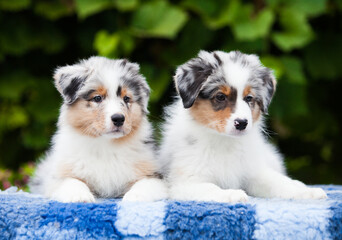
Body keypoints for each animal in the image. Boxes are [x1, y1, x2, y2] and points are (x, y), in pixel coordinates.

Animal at [29, 56, 168, 202]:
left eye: (126, 98)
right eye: (97, 98)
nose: (118, 119)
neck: (105, 144)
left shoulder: (154, 174)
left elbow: (145, 183)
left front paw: (136, 196)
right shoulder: (57, 177)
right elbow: (71, 181)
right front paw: (79, 196)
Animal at [159, 50, 328, 202]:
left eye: (249, 98)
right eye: (220, 97)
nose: (242, 123)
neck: (224, 141)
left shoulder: (254, 172)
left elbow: (279, 184)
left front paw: (309, 192)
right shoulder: (186, 182)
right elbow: (211, 188)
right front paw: (232, 194)